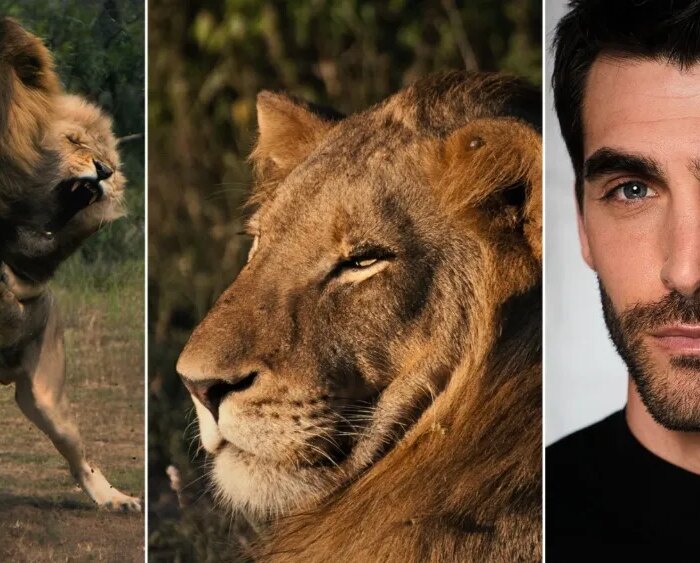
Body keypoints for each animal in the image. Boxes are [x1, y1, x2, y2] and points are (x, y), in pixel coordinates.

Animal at [0, 17, 138, 512]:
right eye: (73, 140)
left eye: (112, 163)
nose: (104, 172)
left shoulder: (37, 265)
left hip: (47, 398)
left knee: (81, 458)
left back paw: (116, 499)